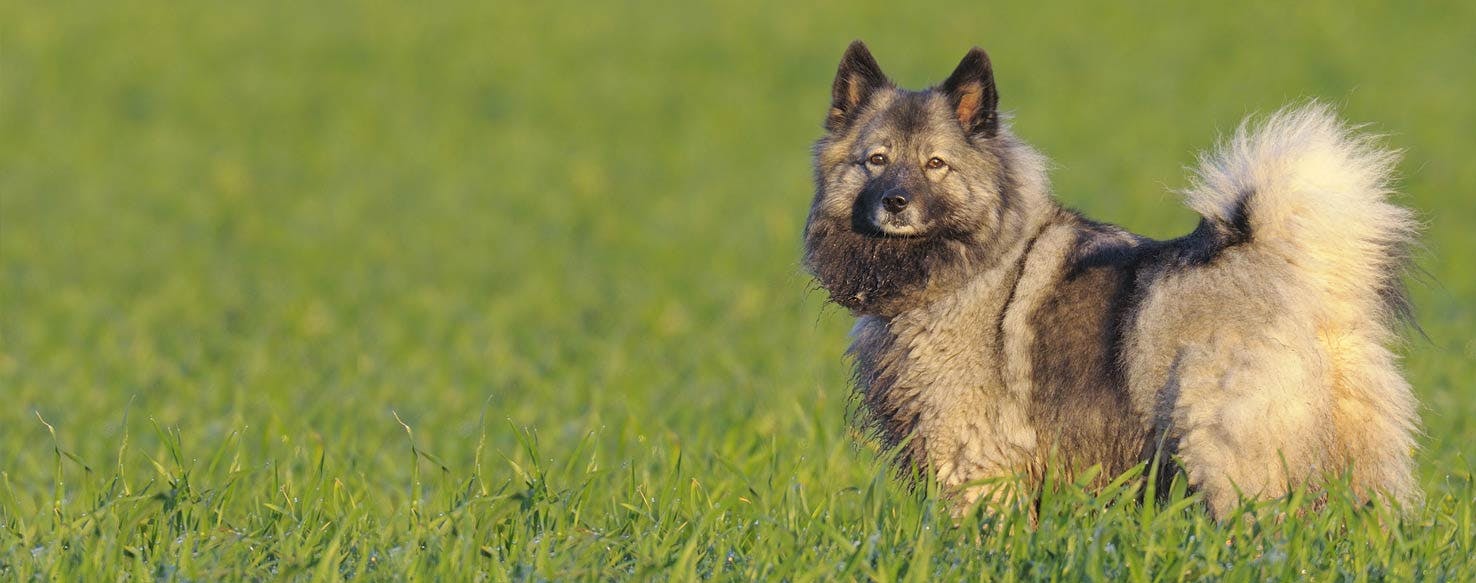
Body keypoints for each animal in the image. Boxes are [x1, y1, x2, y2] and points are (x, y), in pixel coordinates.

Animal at [802, 41, 1422, 519]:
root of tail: (1293, 270)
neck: (972, 263)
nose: (895, 203)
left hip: (1227, 453)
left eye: (936, 164)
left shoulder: (972, 455)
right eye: (876, 160)